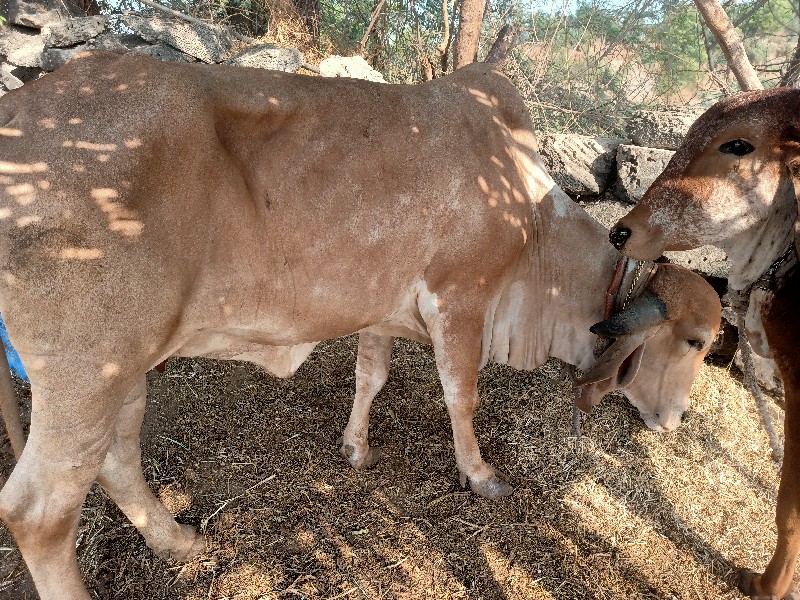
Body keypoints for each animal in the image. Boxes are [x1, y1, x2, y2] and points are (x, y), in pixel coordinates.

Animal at [0, 50, 721, 599]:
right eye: (696, 341)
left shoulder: (384, 309)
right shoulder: (461, 300)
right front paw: (480, 473)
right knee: (37, 513)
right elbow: (462, 396)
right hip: (86, 369)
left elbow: (369, 375)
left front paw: (355, 446)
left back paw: (178, 540)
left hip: (127, 366)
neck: (534, 231)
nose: (676, 420)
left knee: (118, 459)